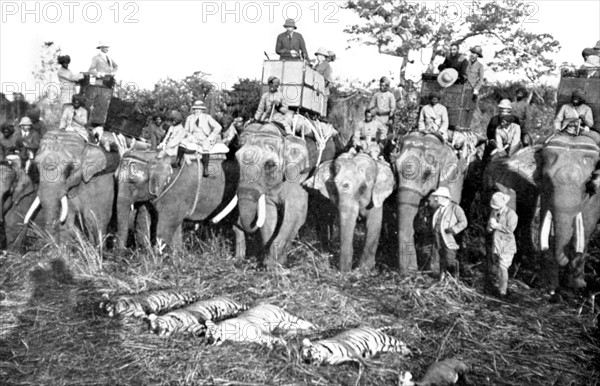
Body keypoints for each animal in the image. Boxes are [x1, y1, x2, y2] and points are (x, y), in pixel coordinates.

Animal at [213, 122, 338, 266]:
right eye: (237, 161)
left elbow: (295, 214)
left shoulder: (297, 176)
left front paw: (275, 266)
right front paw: (269, 263)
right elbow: (268, 214)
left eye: (270, 165)